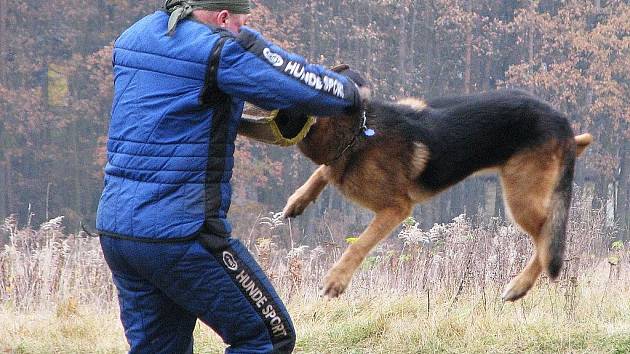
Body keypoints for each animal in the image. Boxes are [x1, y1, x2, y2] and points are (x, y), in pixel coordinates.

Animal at [284, 65, 596, 300]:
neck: (359, 129)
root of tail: (562, 122)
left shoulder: (396, 209)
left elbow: (359, 244)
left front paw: (337, 280)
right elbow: (322, 172)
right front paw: (297, 200)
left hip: (520, 197)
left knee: (546, 237)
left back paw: (519, 286)